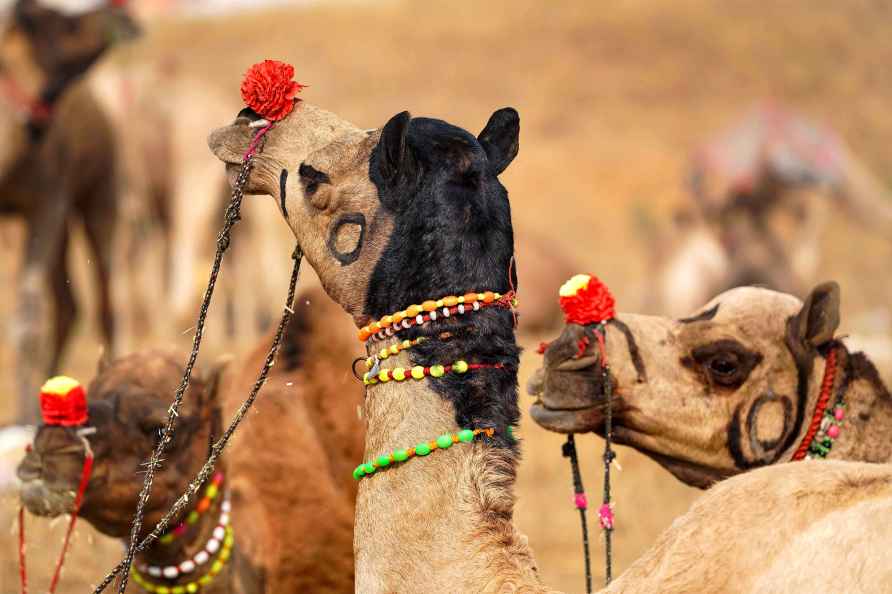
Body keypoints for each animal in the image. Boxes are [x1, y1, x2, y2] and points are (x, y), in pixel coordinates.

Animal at [0, 0, 139, 420]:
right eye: (64, 26)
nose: (125, 17)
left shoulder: (46, 201)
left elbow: (27, 319)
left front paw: (23, 416)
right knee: (68, 304)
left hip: (100, 194)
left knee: (104, 303)